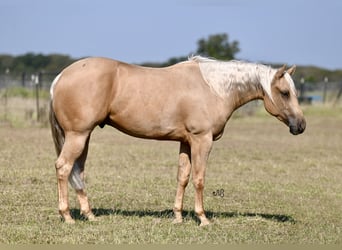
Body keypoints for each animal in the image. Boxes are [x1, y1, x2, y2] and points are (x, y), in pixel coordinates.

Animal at [49, 55, 306, 226]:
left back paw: (89, 214)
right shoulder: (202, 141)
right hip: (78, 136)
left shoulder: (185, 142)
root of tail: (60, 77)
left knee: (78, 171)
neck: (213, 88)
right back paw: (67, 216)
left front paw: (178, 216)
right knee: (64, 167)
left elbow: (182, 177)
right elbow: (199, 179)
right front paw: (203, 219)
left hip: (84, 137)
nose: (301, 126)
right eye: (285, 93)